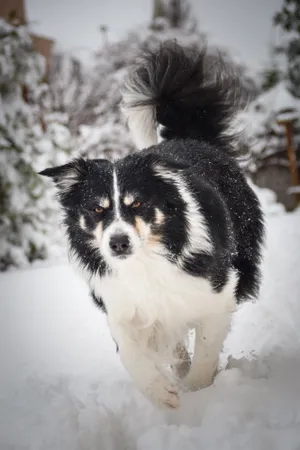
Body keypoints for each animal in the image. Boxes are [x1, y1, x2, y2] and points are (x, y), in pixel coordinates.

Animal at [40, 41, 264, 408]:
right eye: (98, 209)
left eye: (137, 204)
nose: (118, 243)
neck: (147, 261)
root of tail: (192, 139)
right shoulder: (122, 304)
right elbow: (132, 355)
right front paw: (162, 393)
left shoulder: (216, 293)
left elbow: (206, 349)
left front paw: (198, 393)